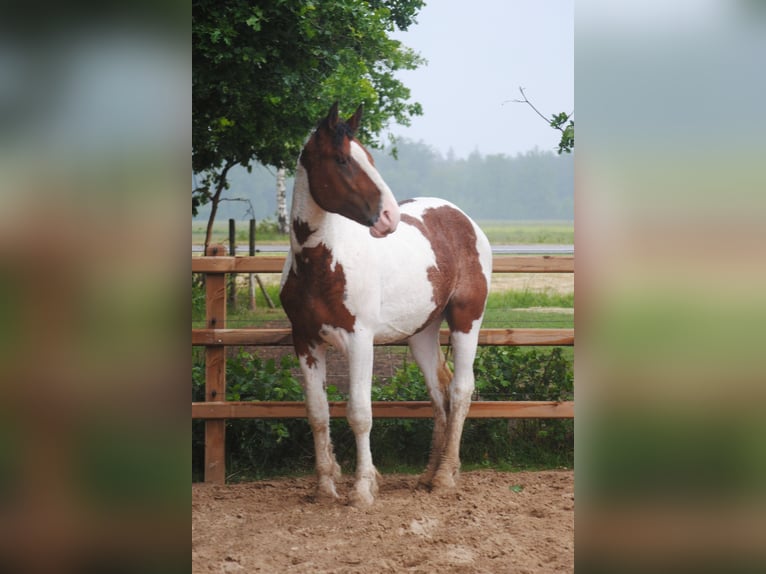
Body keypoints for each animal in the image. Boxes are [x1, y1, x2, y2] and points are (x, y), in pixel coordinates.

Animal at [280, 102, 491, 507]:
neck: (323, 262)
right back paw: (428, 476)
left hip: (466, 320)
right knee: (439, 392)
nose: (389, 217)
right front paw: (325, 487)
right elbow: (318, 413)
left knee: (460, 390)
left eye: (370, 157)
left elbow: (360, 413)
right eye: (342, 160)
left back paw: (445, 478)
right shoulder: (306, 341)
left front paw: (363, 489)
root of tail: (463, 219)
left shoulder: (360, 340)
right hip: (422, 333)